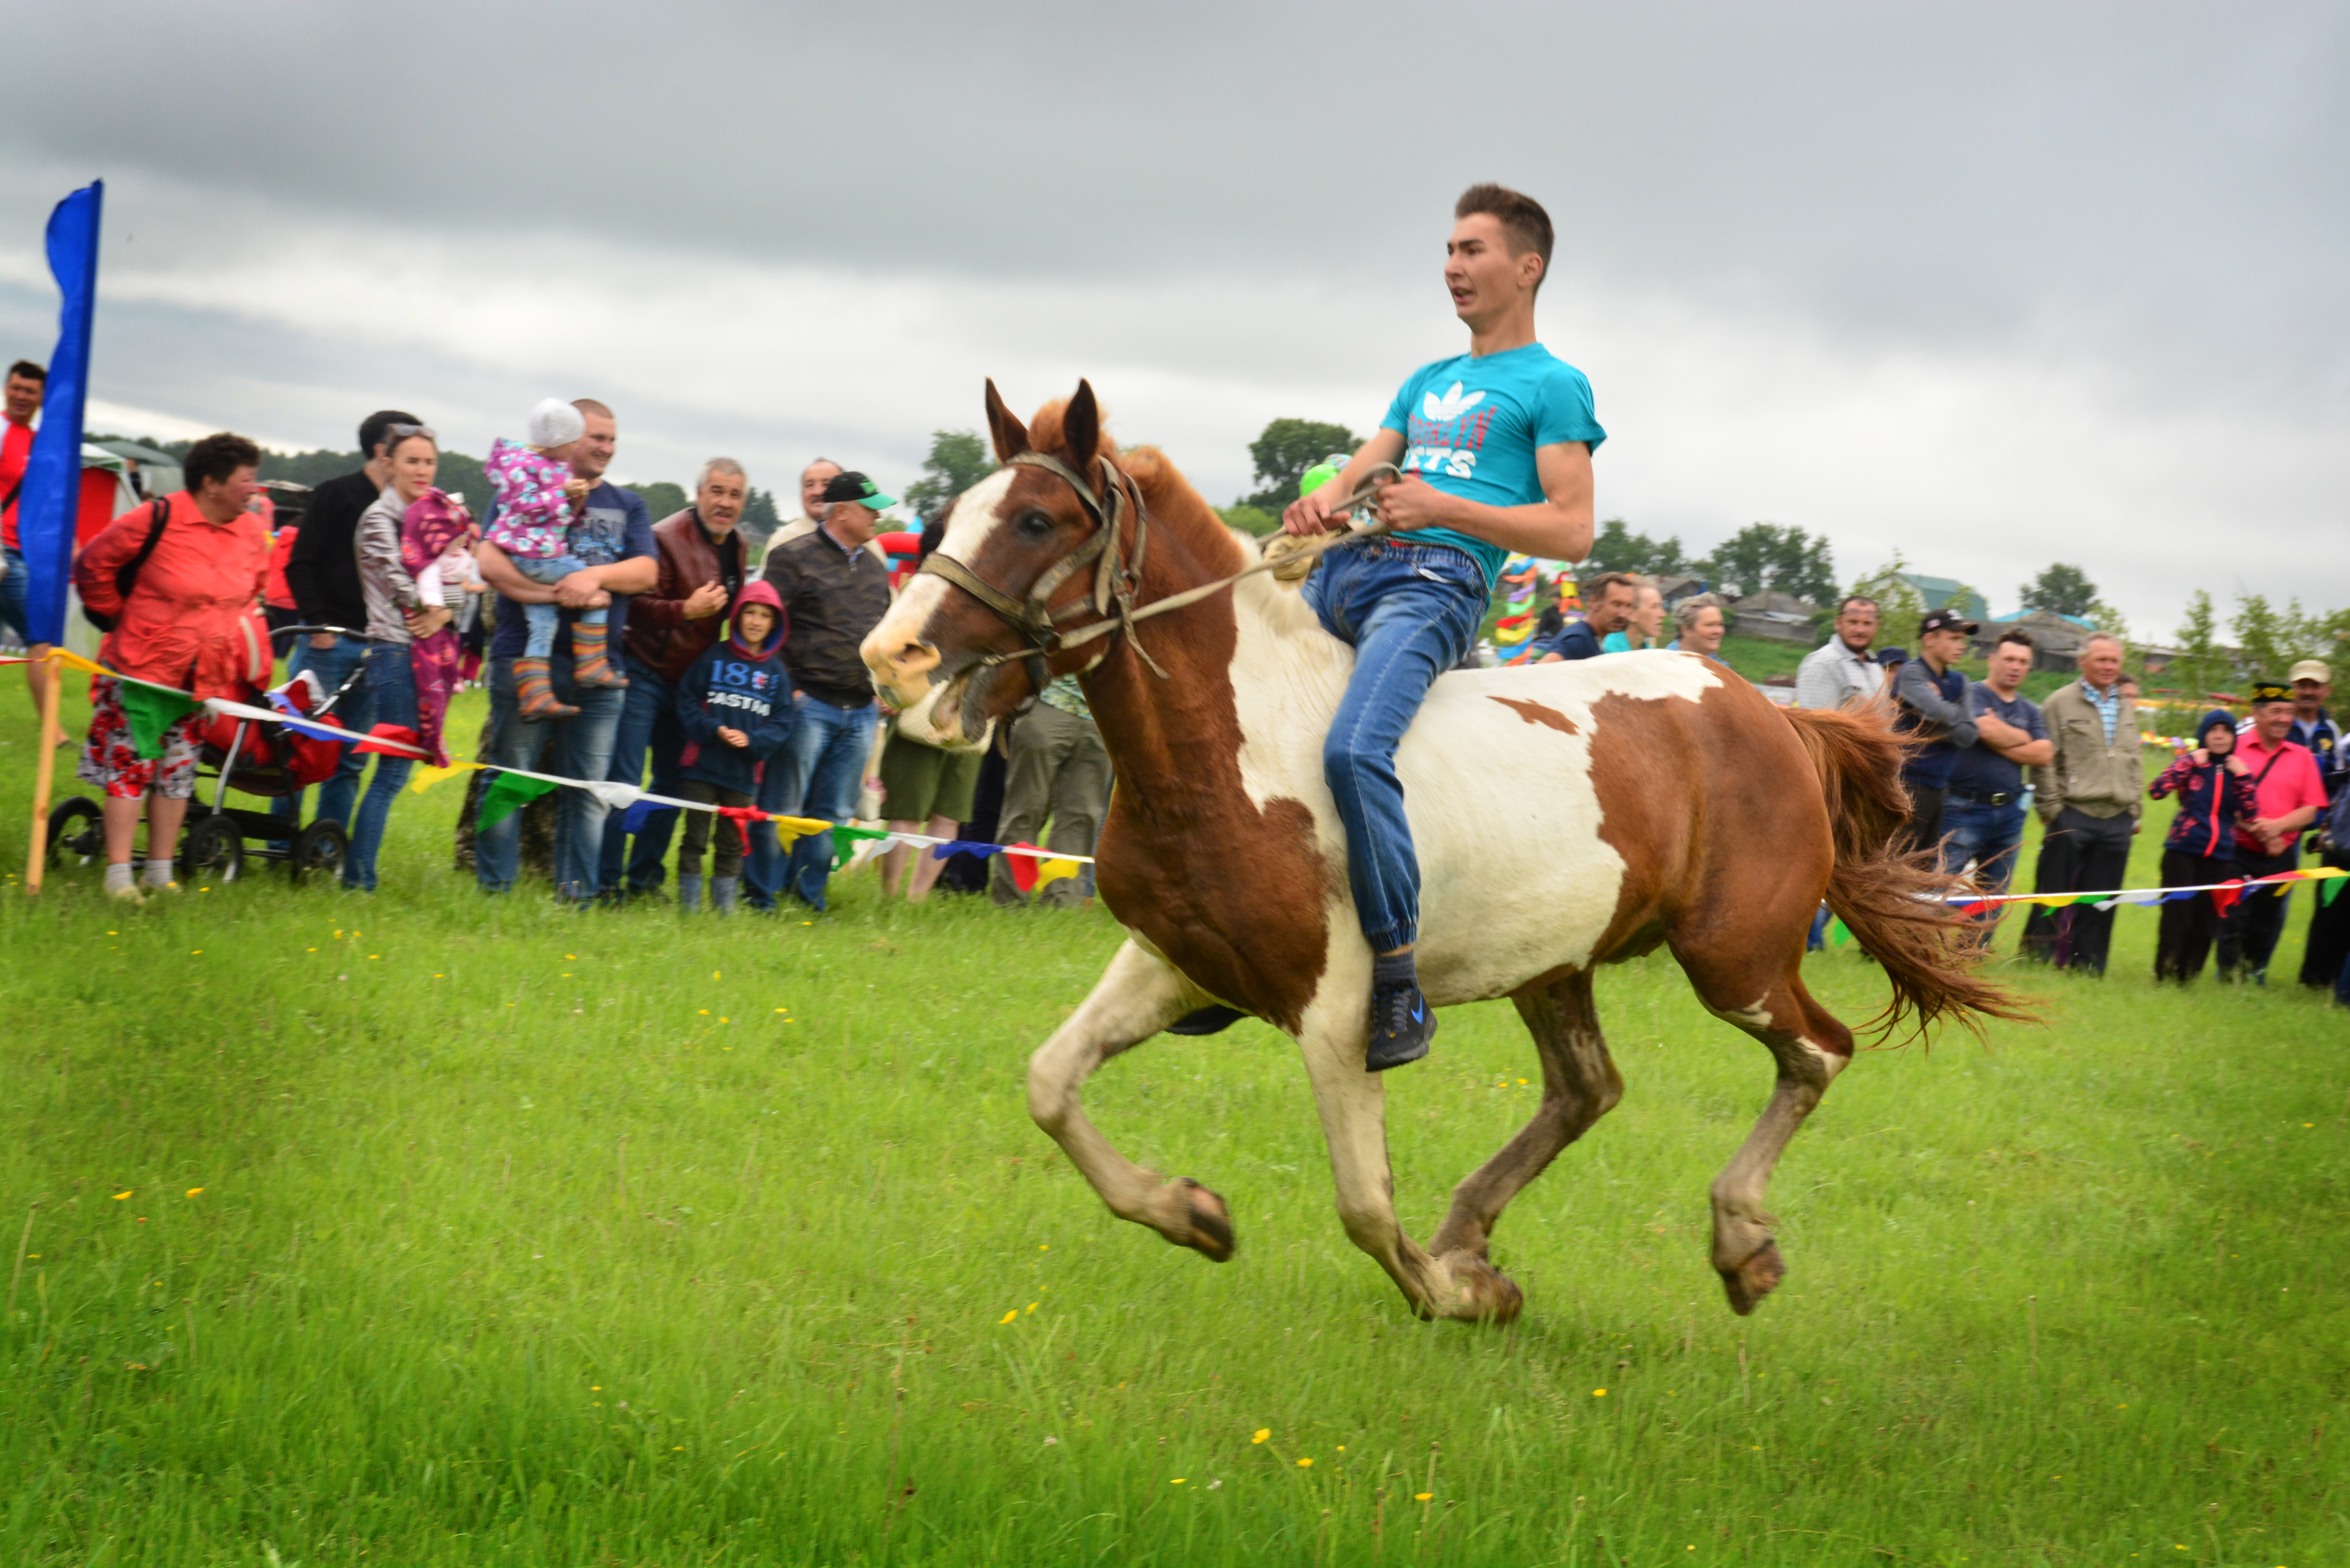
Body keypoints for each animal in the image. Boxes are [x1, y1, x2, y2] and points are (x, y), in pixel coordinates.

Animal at [865, 383, 2021, 1325]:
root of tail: (1768, 712)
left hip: (1735, 958)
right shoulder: (1172, 963)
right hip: (1558, 965)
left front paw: (1455, 1294)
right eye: (951, 515)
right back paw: (1475, 1228)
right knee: (1588, 1090)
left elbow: (1365, 1206)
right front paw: (1193, 1213)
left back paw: (1739, 1246)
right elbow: (1049, 1085)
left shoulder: (1336, 1010)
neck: (1229, 750)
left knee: (1817, 1051)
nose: (892, 658)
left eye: (1035, 518)